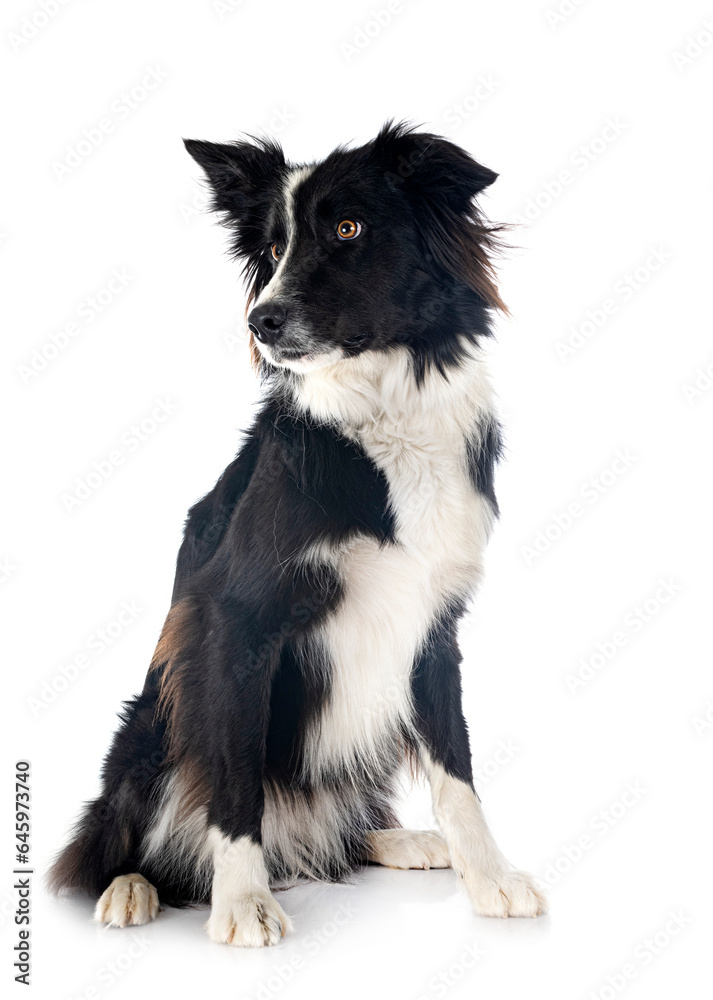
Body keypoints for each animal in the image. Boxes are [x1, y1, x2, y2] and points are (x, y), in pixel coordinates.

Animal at [50, 121, 548, 940]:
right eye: (275, 245)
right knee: (107, 840)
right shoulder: (238, 620)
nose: (261, 320)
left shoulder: (433, 623)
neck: (382, 414)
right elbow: (235, 778)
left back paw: (398, 840)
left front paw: (489, 876)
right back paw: (130, 888)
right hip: (150, 723)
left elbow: (457, 766)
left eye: (347, 229)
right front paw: (243, 902)